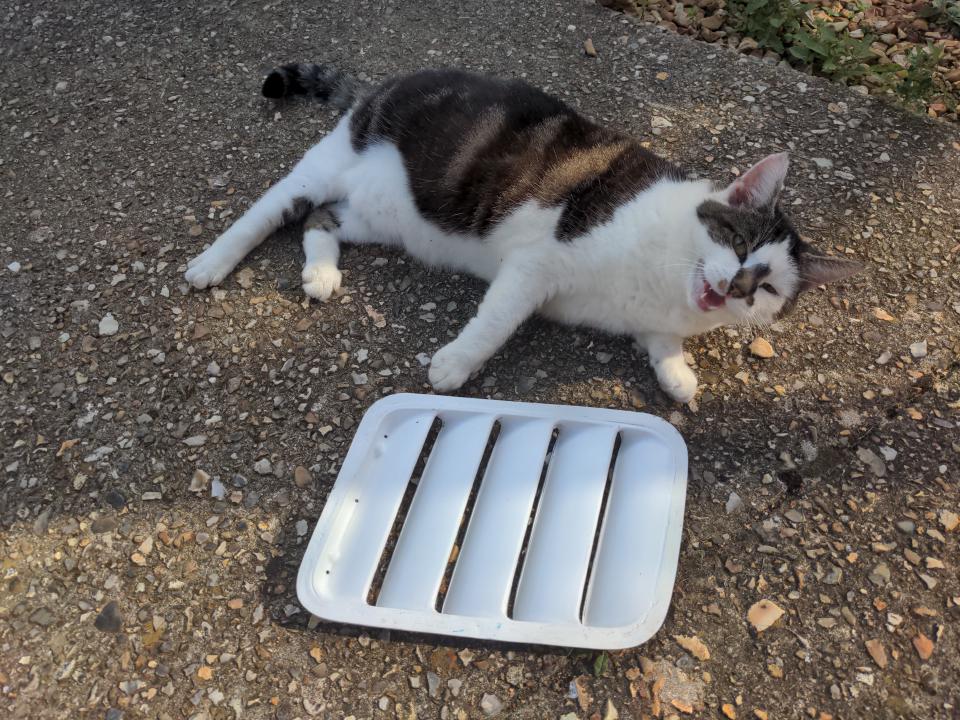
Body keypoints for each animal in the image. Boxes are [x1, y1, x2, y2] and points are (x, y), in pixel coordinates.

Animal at [182, 64, 864, 402]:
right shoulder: (537, 265)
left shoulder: (649, 317)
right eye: (739, 246)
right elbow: (496, 322)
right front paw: (455, 364)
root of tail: (385, 79)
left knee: (322, 220)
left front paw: (677, 374)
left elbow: (662, 343)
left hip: (384, 218)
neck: (666, 281)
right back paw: (212, 262)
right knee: (271, 210)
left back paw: (321, 272)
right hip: (326, 165)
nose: (740, 288)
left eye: (770, 290)